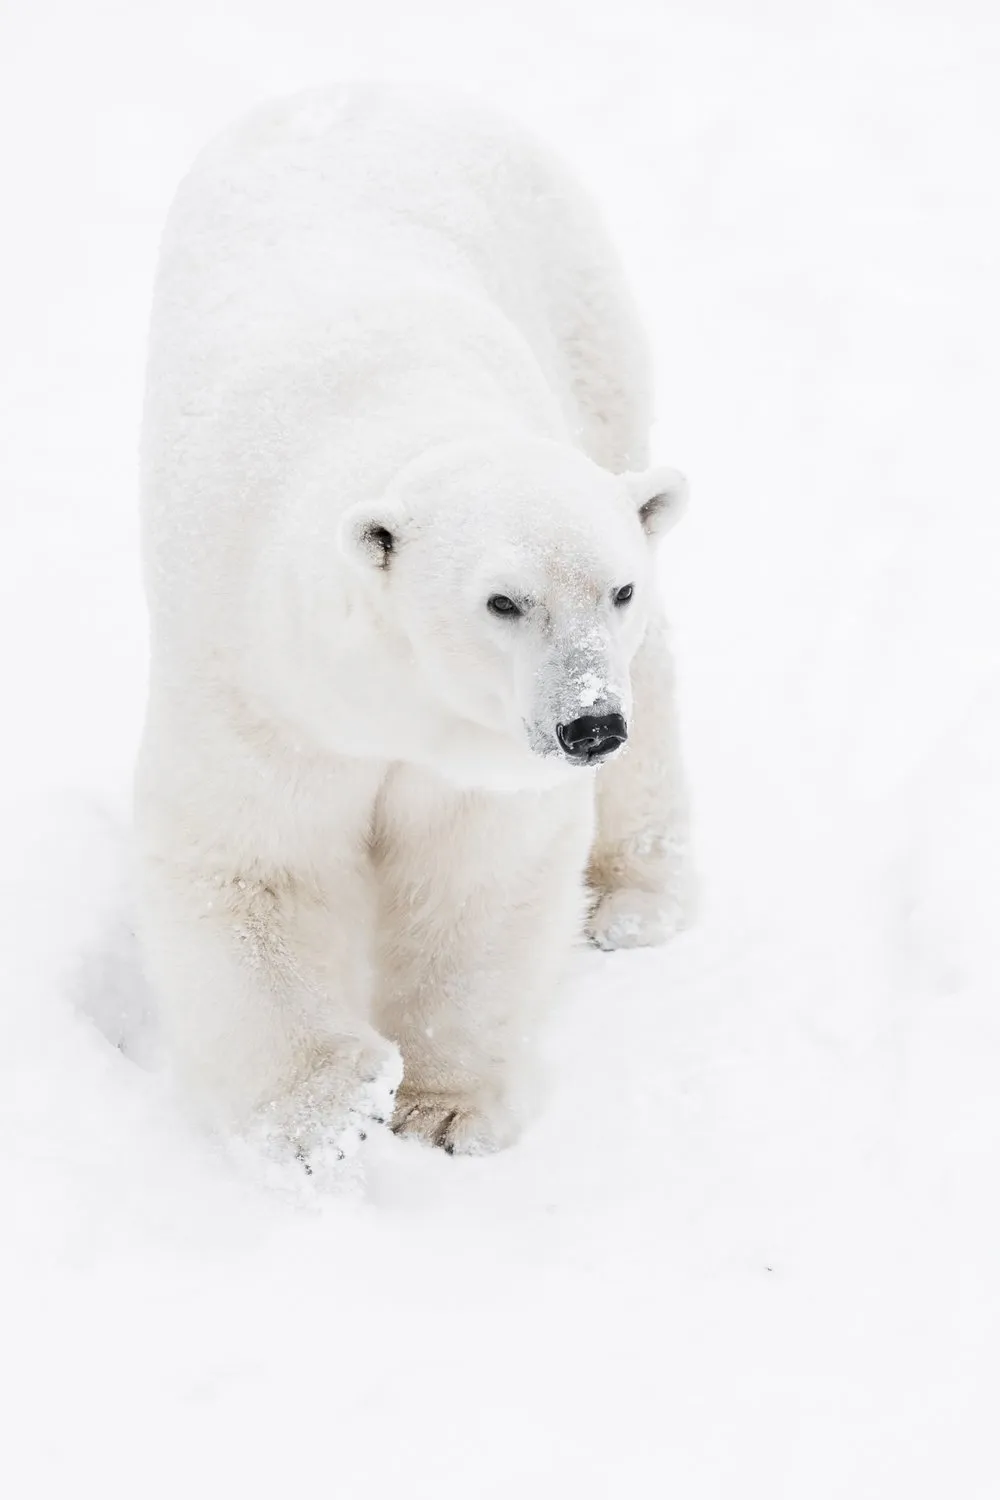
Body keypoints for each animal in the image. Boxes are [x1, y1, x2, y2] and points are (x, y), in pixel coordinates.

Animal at [137, 85, 692, 1158]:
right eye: (503, 600)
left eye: (617, 591)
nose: (589, 724)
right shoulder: (261, 689)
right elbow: (256, 862)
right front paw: (332, 1107)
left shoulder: (485, 759)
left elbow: (481, 877)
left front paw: (443, 1108)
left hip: (584, 313)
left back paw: (638, 898)